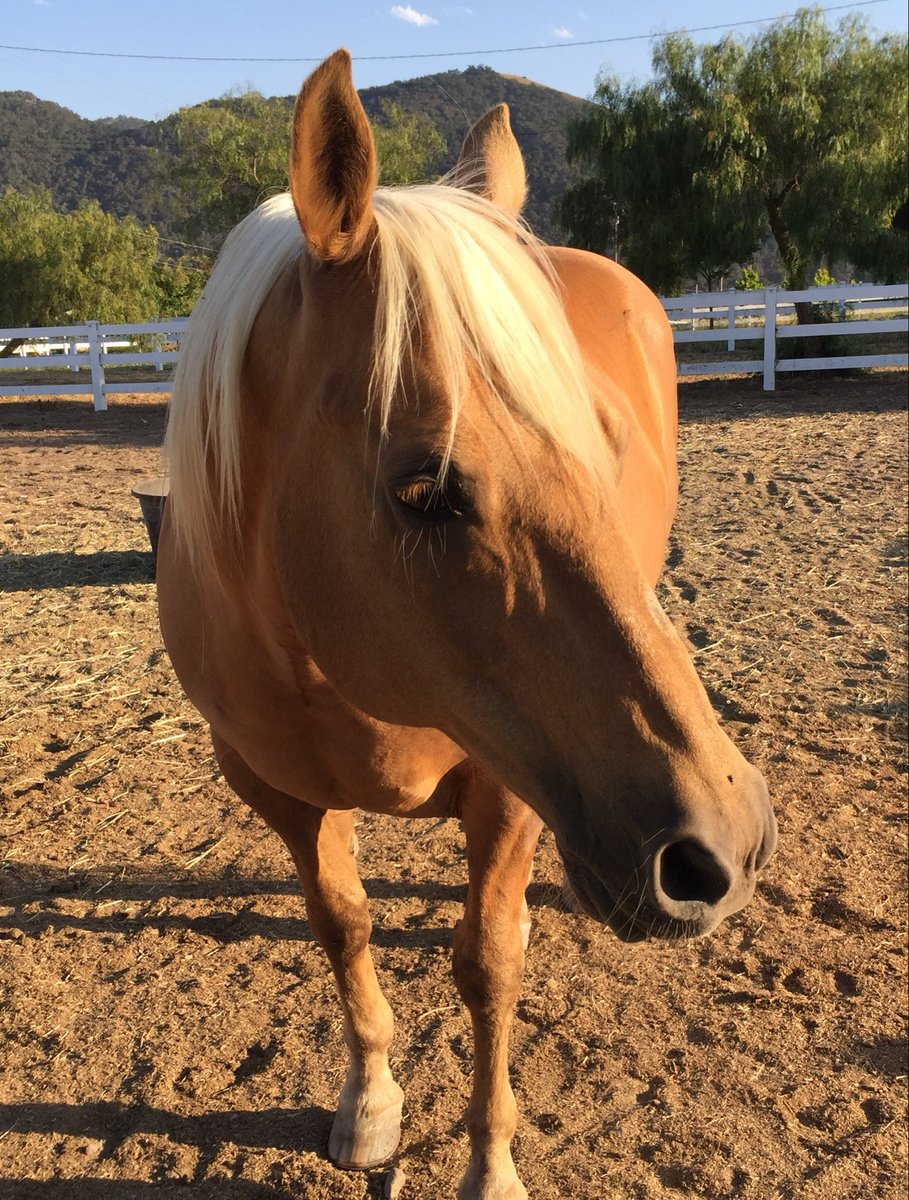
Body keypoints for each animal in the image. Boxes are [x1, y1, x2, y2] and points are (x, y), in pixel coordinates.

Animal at [157, 49, 776, 1200]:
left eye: (605, 445)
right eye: (422, 490)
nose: (727, 840)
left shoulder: (512, 787)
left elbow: (486, 965)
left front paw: (491, 1163)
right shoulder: (276, 792)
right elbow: (341, 923)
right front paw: (369, 1101)